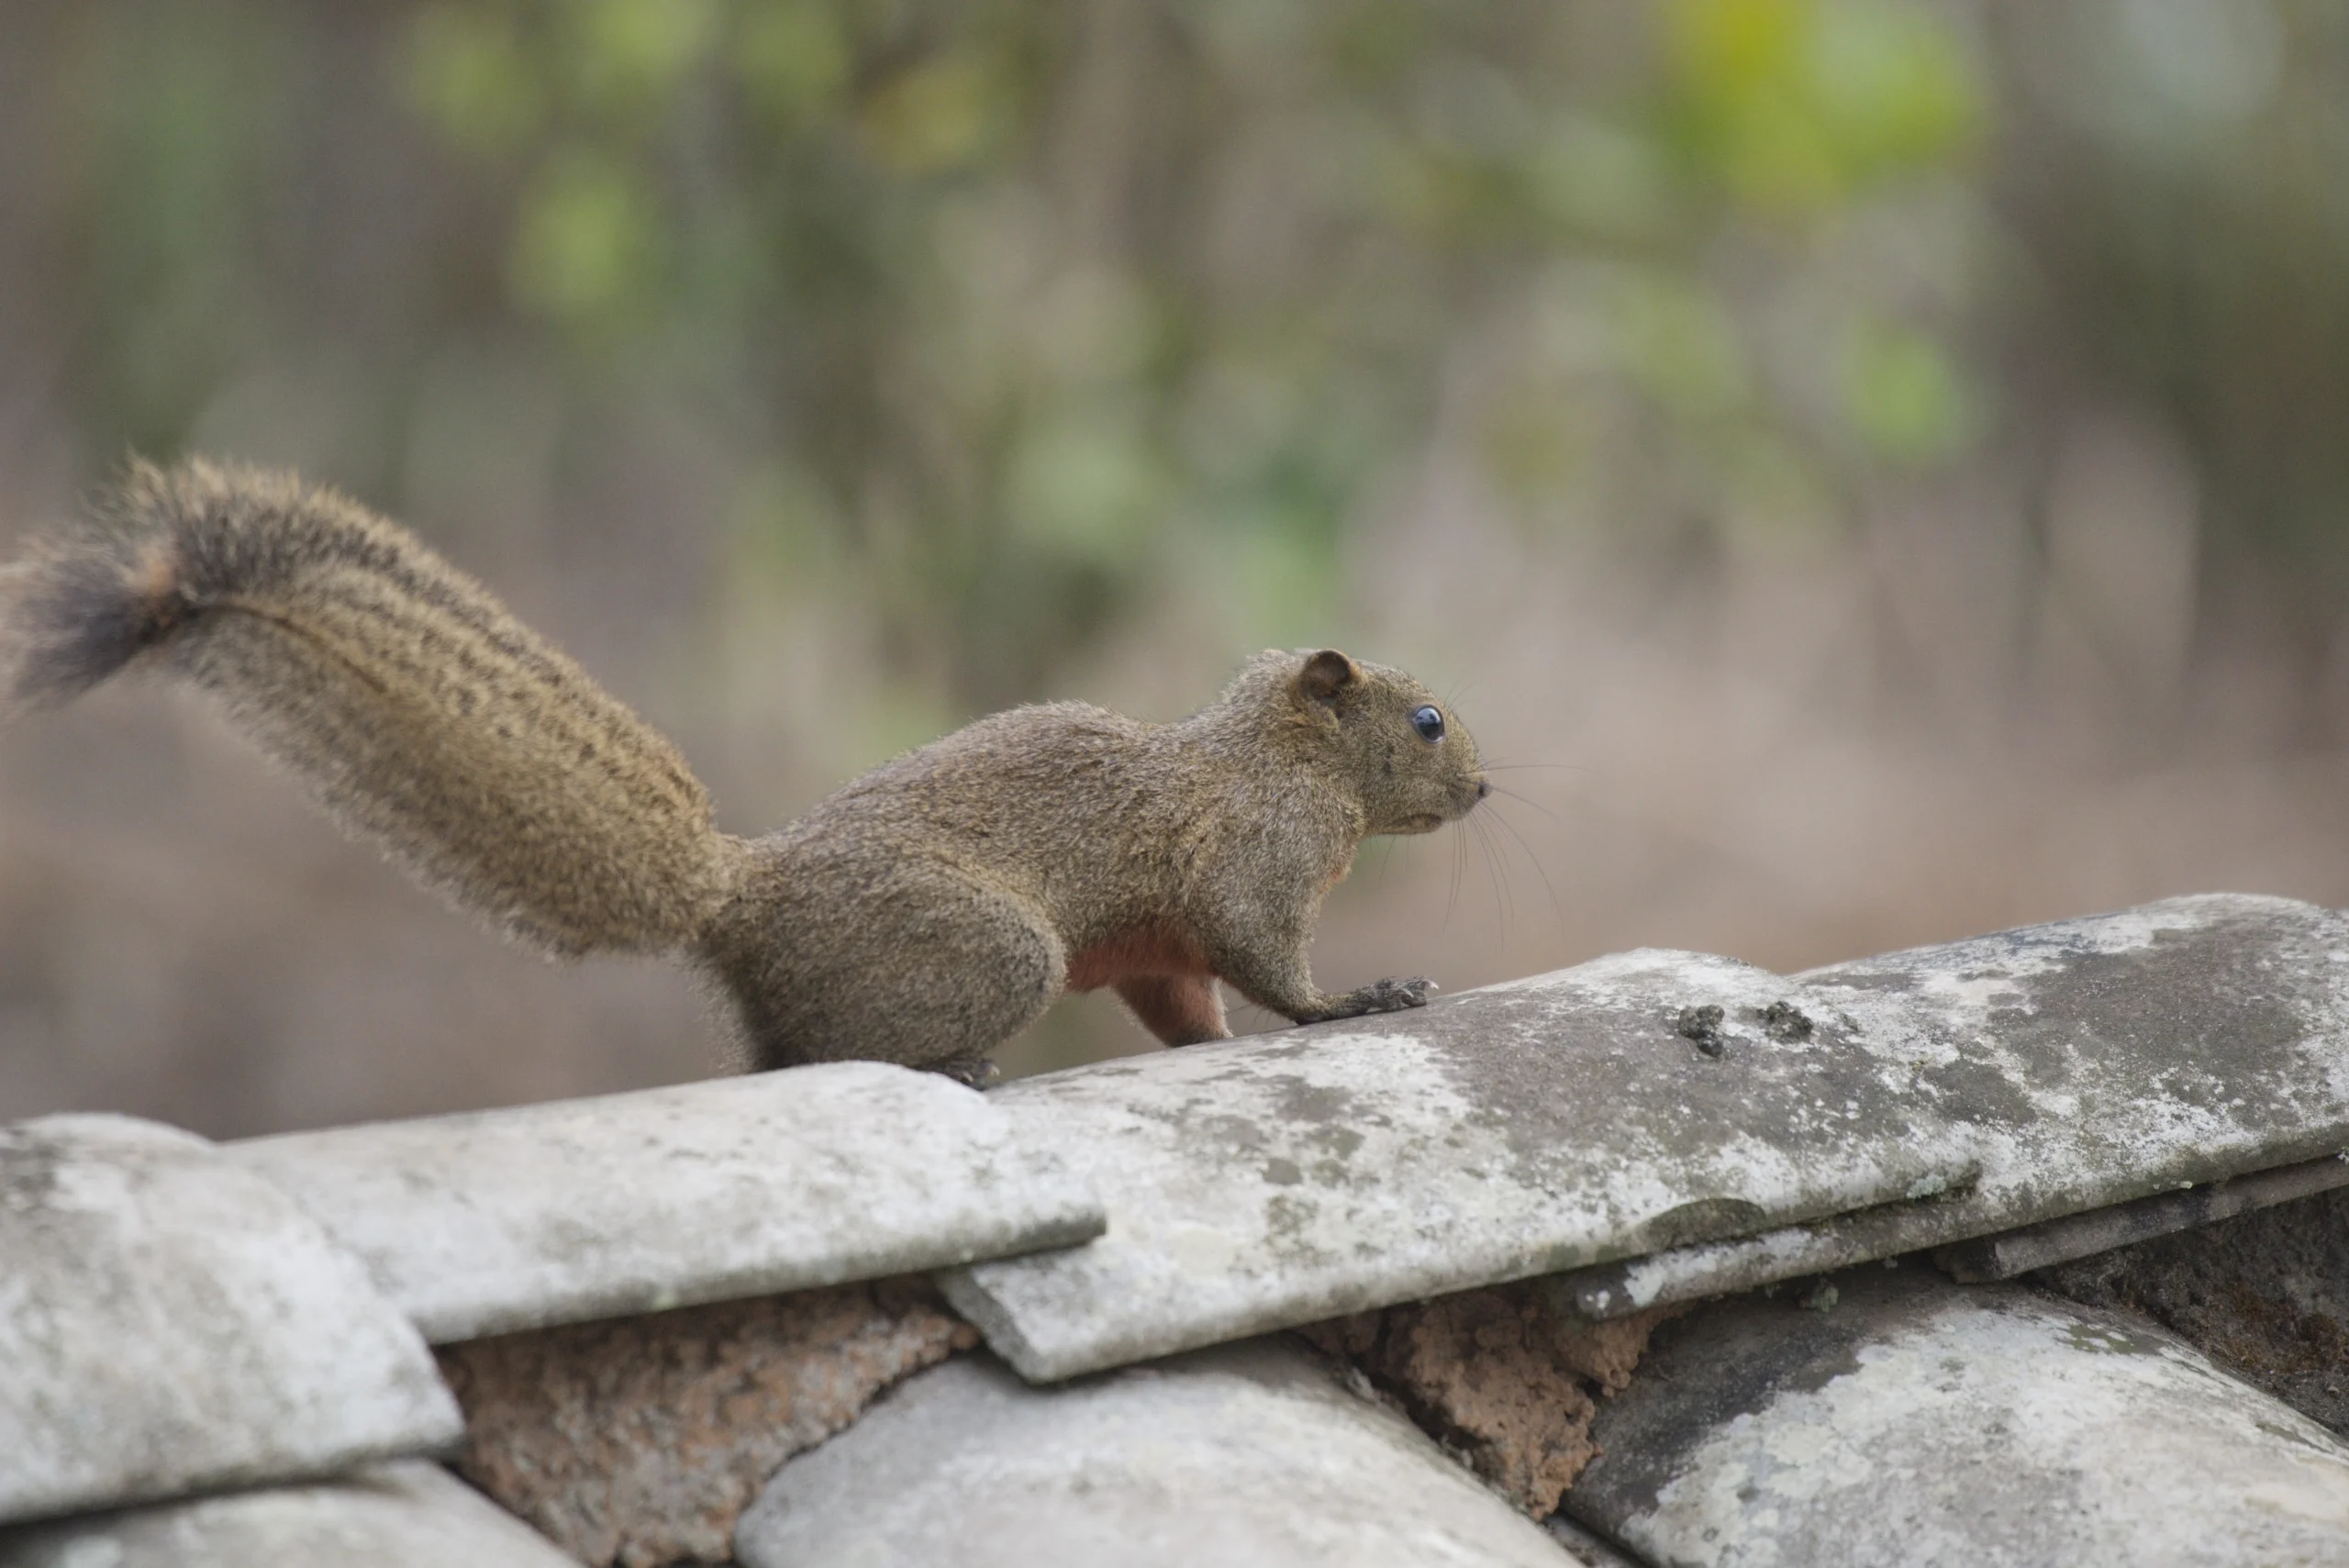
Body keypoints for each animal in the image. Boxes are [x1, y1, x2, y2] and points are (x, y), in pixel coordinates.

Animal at [0, 458, 1490, 1084]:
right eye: (1425, 723)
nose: (1483, 794)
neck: (1270, 751)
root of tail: (739, 898)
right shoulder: (1251, 854)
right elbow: (1264, 957)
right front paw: (1360, 997)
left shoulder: (1161, 944)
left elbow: (1186, 1005)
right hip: (983, 947)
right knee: (851, 1041)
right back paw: (957, 1067)